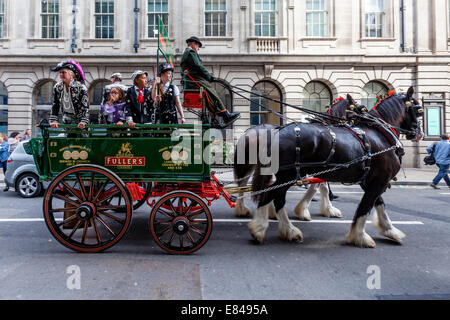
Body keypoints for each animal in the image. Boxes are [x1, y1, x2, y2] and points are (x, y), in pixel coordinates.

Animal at [237, 87, 424, 248]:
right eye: (419, 110)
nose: (419, 134)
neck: (380, 133)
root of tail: (276, 131)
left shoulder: (370, 181)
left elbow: (378, 203)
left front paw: (389, 230)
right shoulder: (379, 180)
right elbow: (364, 207)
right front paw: (359, 236)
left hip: (287, 174)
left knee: (272, 194)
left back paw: (285, 229)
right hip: (288, 174)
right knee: (269, 194)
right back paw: (261, 228)